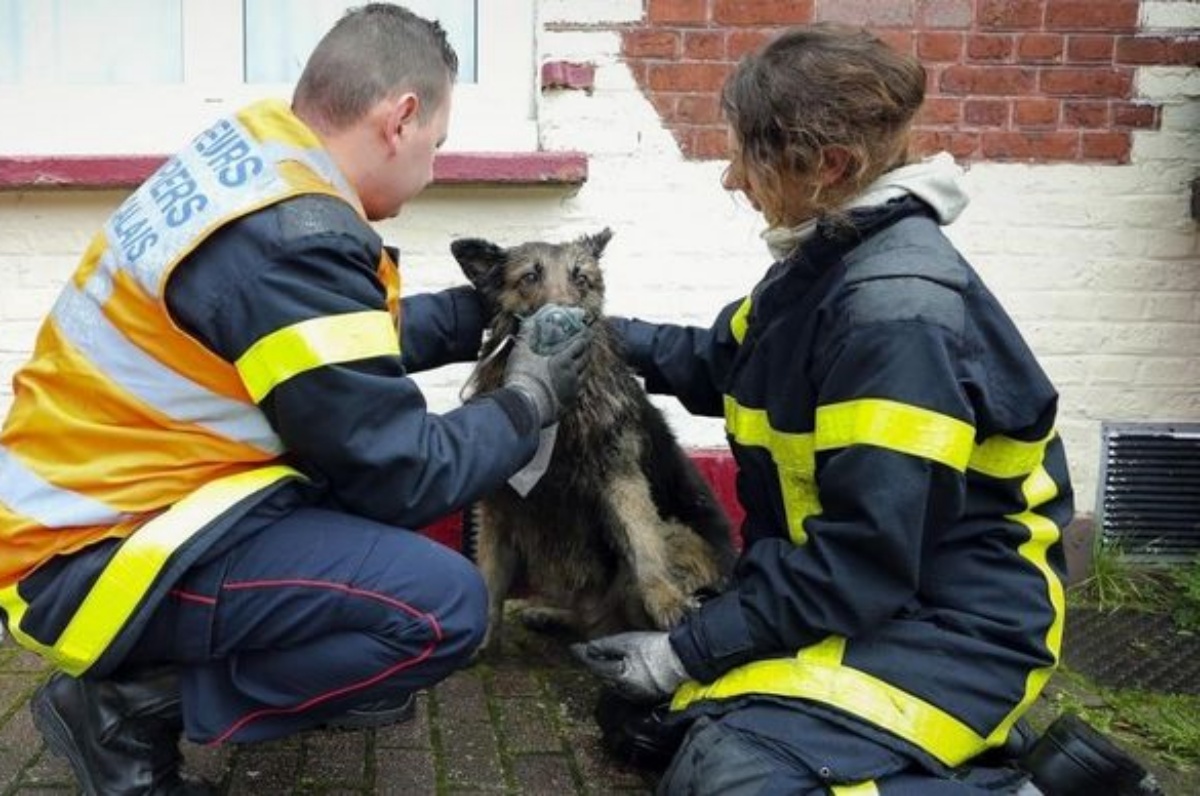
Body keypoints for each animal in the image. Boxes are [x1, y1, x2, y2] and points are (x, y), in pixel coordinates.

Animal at [448, 226, 729, 653]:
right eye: (530, 277)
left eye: (581, 278)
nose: (568, 321)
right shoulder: (499, 506)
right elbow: (490, 578)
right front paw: (482, 639)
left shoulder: (622, 482)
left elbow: (644, 543)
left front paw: (665, 598)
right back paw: (554, 616)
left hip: (677, 534)